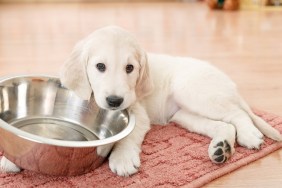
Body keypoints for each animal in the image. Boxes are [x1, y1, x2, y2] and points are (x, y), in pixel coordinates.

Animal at [1, 26, 280, 176]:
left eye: (130, 68)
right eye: (100, 66)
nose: (114, 101)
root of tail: (229, 83)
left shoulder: (138, 114)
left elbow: (127, 136)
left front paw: (123, 158)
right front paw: (11, 157)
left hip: (194, 91)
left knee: (237, 114)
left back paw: (249, 136)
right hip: (184, 115)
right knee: (224, 124)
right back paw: (221, 148)